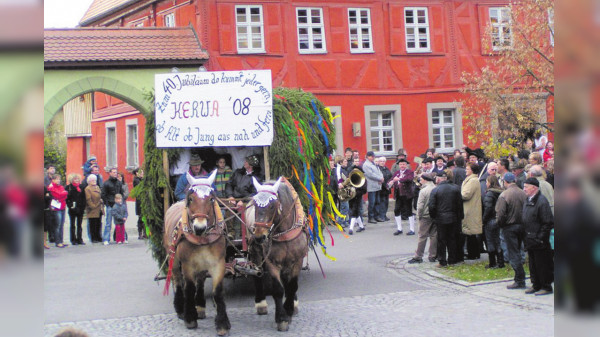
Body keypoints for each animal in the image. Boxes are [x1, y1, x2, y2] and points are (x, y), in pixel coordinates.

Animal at [163, 171, 231, 334]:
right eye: (191, 198)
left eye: (211, 198)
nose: (199, 228)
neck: (202, 239)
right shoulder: (188, 264)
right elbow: (189, 287)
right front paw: (190, 318)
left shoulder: (218, 263)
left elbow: (217, 291)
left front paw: (222, 323)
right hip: (173, 258)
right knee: (177, 280)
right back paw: (180, 308)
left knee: (200, 281)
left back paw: (199, 306)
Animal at [245, 176, 310, 330]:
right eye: (255, 204)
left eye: (272, 206)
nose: (259, 236)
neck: (284, 233)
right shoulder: (271, 262)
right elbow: (278, 289)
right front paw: (281, 317)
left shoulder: (297, 261)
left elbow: (292, 286)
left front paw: (289, 309)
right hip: (256, 253)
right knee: (257, 275)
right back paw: (261, 303)